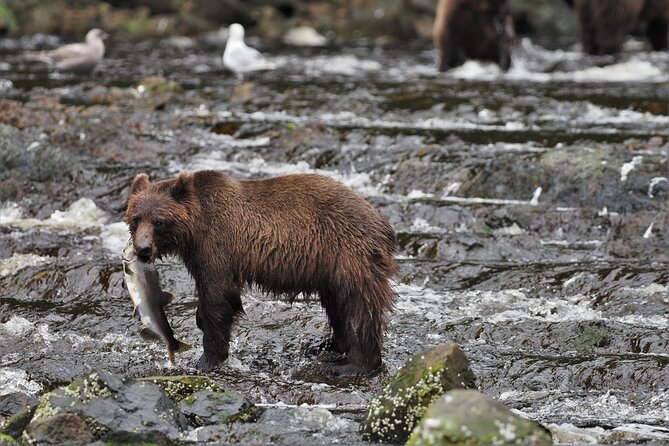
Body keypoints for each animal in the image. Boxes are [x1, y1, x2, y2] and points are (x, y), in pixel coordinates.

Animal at [125, 170, 399, 376]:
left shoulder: (217, 245)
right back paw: (327, 347)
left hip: (349, 254)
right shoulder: (199, 254)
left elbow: (218, 297)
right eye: (136, 218)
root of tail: (383, 223)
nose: (143, 249)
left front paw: (206, 359)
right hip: (331, 270)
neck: (194, 229)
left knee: (359, 307)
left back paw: (351, 365)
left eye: (158, 221)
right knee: (338, 307)